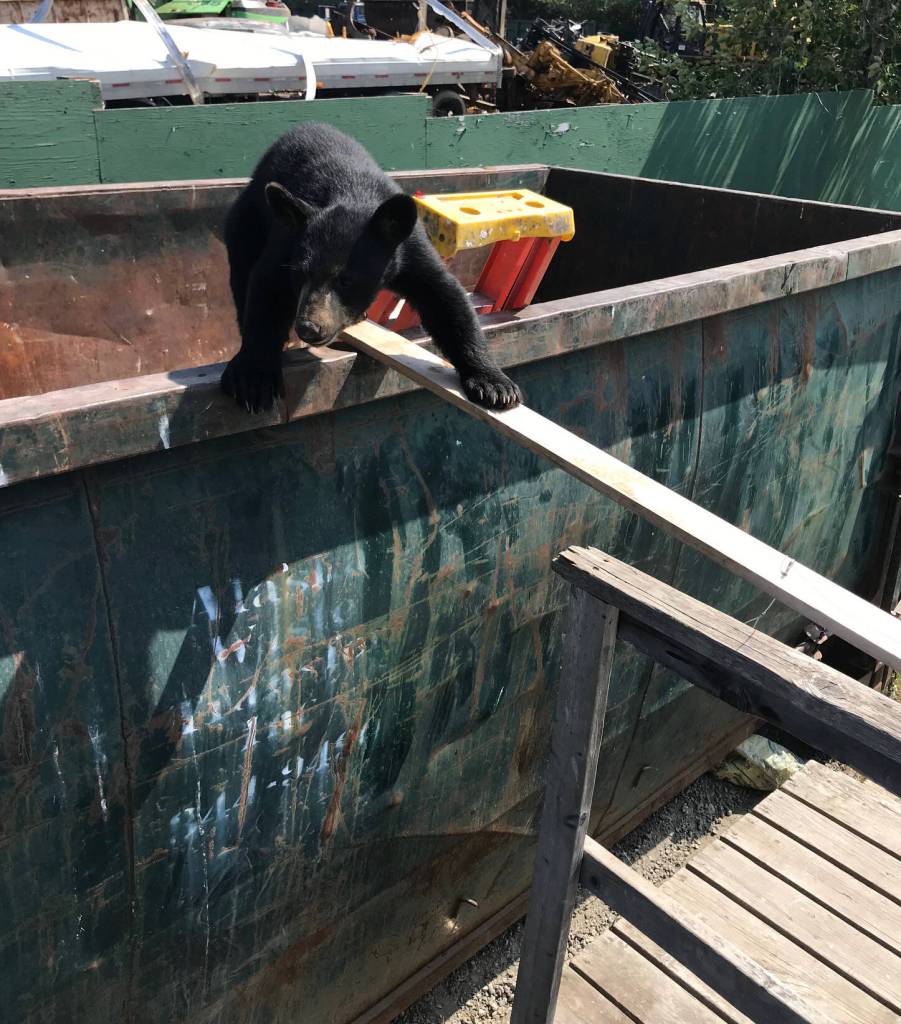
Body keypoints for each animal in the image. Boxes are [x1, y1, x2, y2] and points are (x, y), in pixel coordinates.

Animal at [221, 122, 523, 413]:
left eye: (346, 279)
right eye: (300, 274)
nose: (308, 328)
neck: (352, 192)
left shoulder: (406, 249)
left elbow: (444, 296)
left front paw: (495, 385)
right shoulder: (286, 243)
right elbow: (266, 288)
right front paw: (254, 379)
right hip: (246, 219)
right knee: (241, 269)